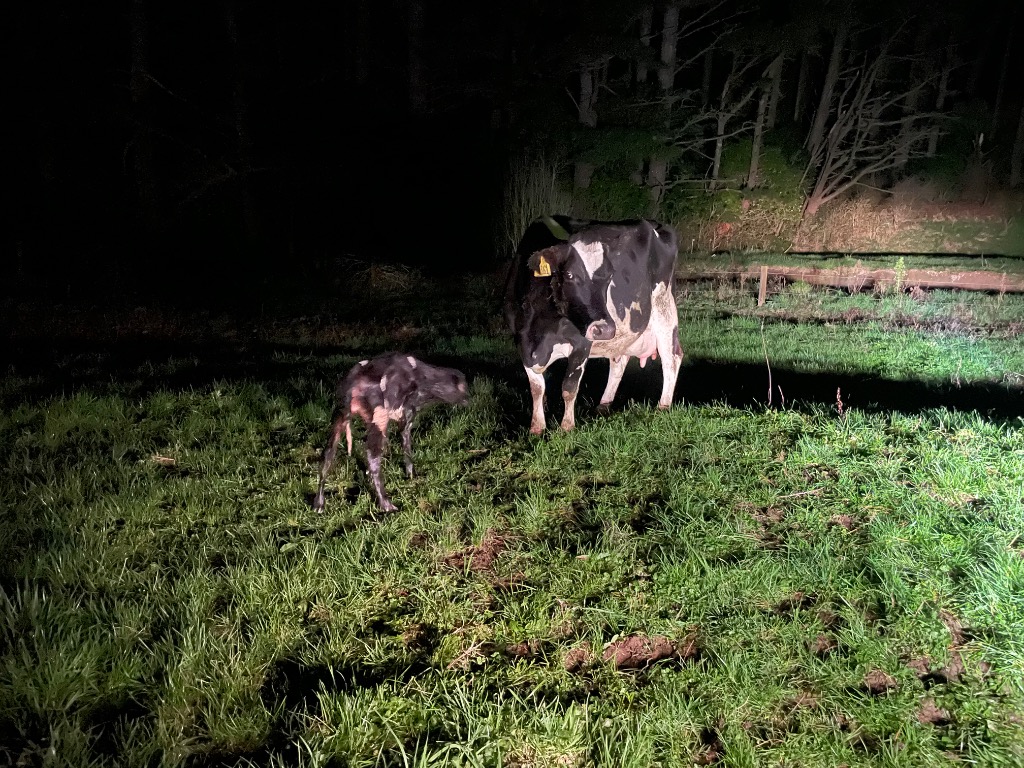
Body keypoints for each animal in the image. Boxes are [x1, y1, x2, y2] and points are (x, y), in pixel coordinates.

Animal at [313, 353, 469, 512]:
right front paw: (411, 474)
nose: (468, 400)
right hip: (378, 418)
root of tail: (354, 382)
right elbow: (407, 448)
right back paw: (386, 504)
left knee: (328, 454)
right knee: (372, 457)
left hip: (340, 415)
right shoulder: (407, 417)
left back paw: (319, 503)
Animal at [504, 215, 683, 434]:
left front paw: (566, 427)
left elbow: (569, 387)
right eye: (570, 275)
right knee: (619, 362)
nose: (605, 329)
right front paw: (536, 428)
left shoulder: (581, 343)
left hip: (664, 310)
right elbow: (537, 388)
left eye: (608, 277)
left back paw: (663, 406)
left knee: (671, 357)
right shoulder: (521, 342)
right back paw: (603, 405)